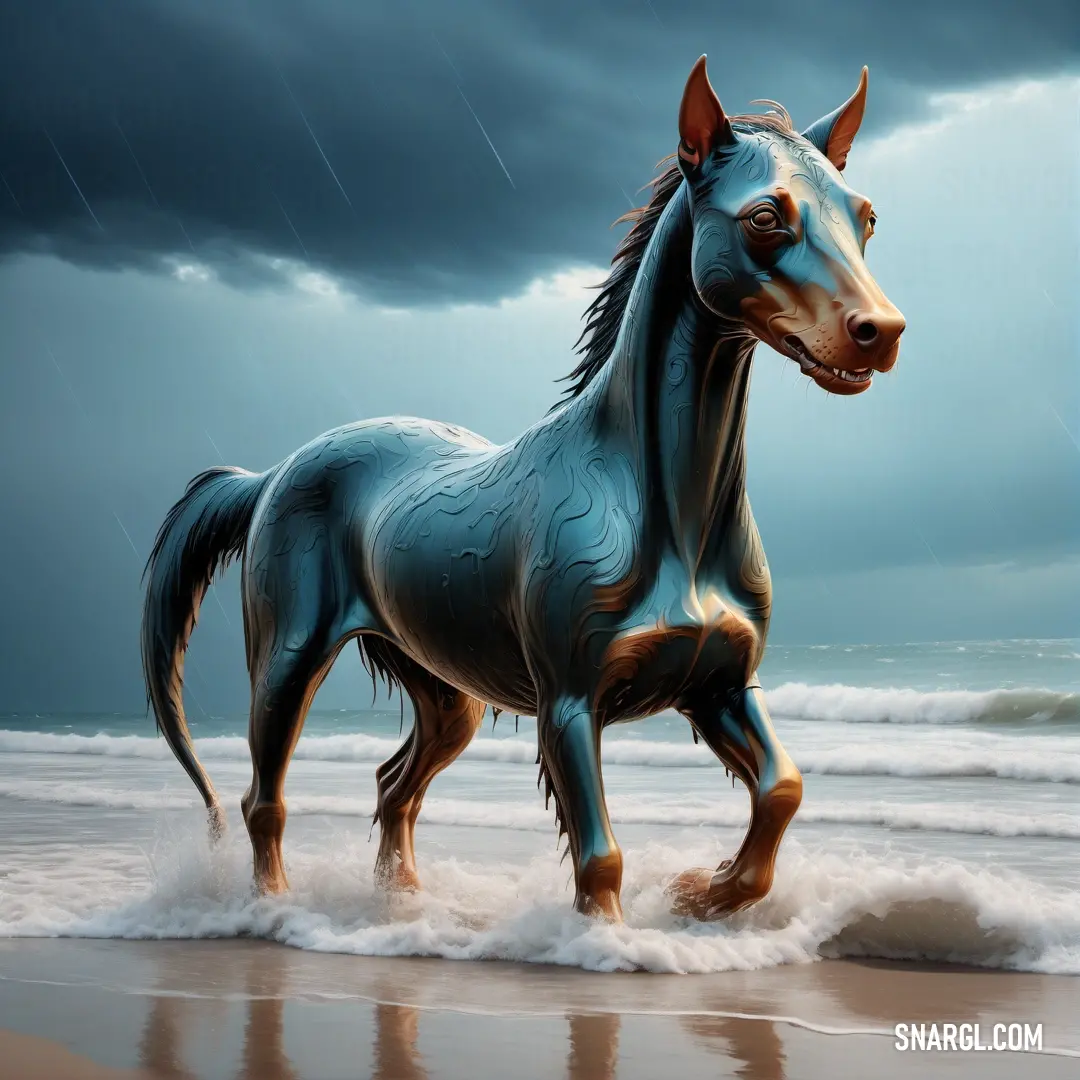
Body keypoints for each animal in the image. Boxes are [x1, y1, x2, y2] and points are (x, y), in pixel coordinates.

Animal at [143, 56, 902, 920]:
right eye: (767, 217)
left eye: (865, 217)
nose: (881, 332)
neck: (665, 513)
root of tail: (273, 473)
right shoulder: (570, 706)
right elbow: (600, 859)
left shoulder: (720, 688)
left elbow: (782, 790)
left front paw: (702, 892)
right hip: (287, 662)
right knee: (263, 800)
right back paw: (274, 909)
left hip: (446, 694)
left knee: (395, 787)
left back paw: (406, 905)